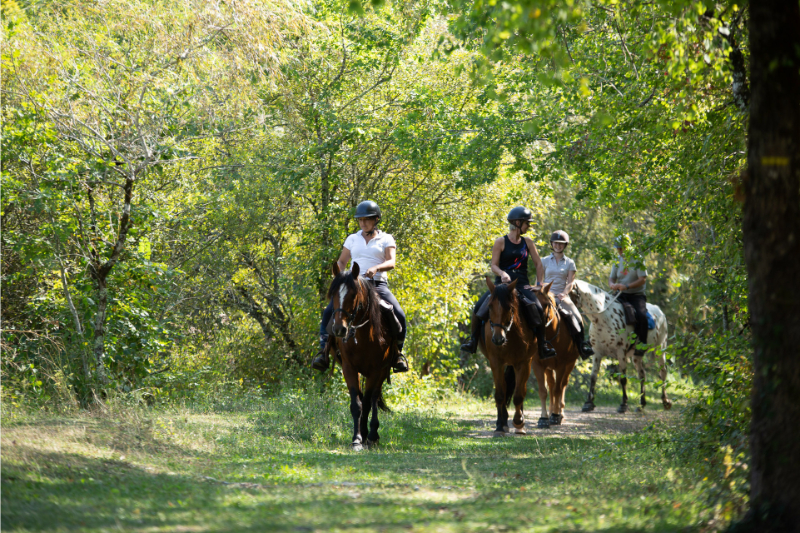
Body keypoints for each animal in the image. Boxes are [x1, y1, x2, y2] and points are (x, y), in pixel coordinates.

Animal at [328, 260, 394, 448]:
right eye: (333, 294)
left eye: (353, 294)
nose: (339, 329)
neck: (362, 335)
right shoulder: (349, 368)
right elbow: (356, 403)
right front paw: (357, 438)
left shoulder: (375, 370)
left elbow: (366, 403)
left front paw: (366, 435)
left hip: (383, 371)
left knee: (374, 397)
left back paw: (373, 434)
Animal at [478, 276, 536, 434]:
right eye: (489, 307)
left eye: (509, 308)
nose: (498, 339)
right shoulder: (495, 362)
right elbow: (500, 394)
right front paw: (500, 425)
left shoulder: (523, 363)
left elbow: (519, 395)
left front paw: (518, 421)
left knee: (520, 389)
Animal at [532, 282, 580, 428]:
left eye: (546, 304)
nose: (537, 325)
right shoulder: (538, 365)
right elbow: (543, 391)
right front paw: (543, 418)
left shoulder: (561, 365)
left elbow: (558, 390)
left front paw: (555, 416)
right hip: (548, 367)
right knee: (552, 385)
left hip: (570, 364)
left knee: (562, 385)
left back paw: (560, 413)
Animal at [564, 280, 672, 414]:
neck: (603, 318)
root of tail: (660, 311)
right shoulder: (597, 353)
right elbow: (593, 377)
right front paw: (588, 403)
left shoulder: (621, 353)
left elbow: (623, 379)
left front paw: (623, 404)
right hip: (637, 356)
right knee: (642, 375)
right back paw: (641, 405)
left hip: (660, 349)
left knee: (663, 372)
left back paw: (665, 401)